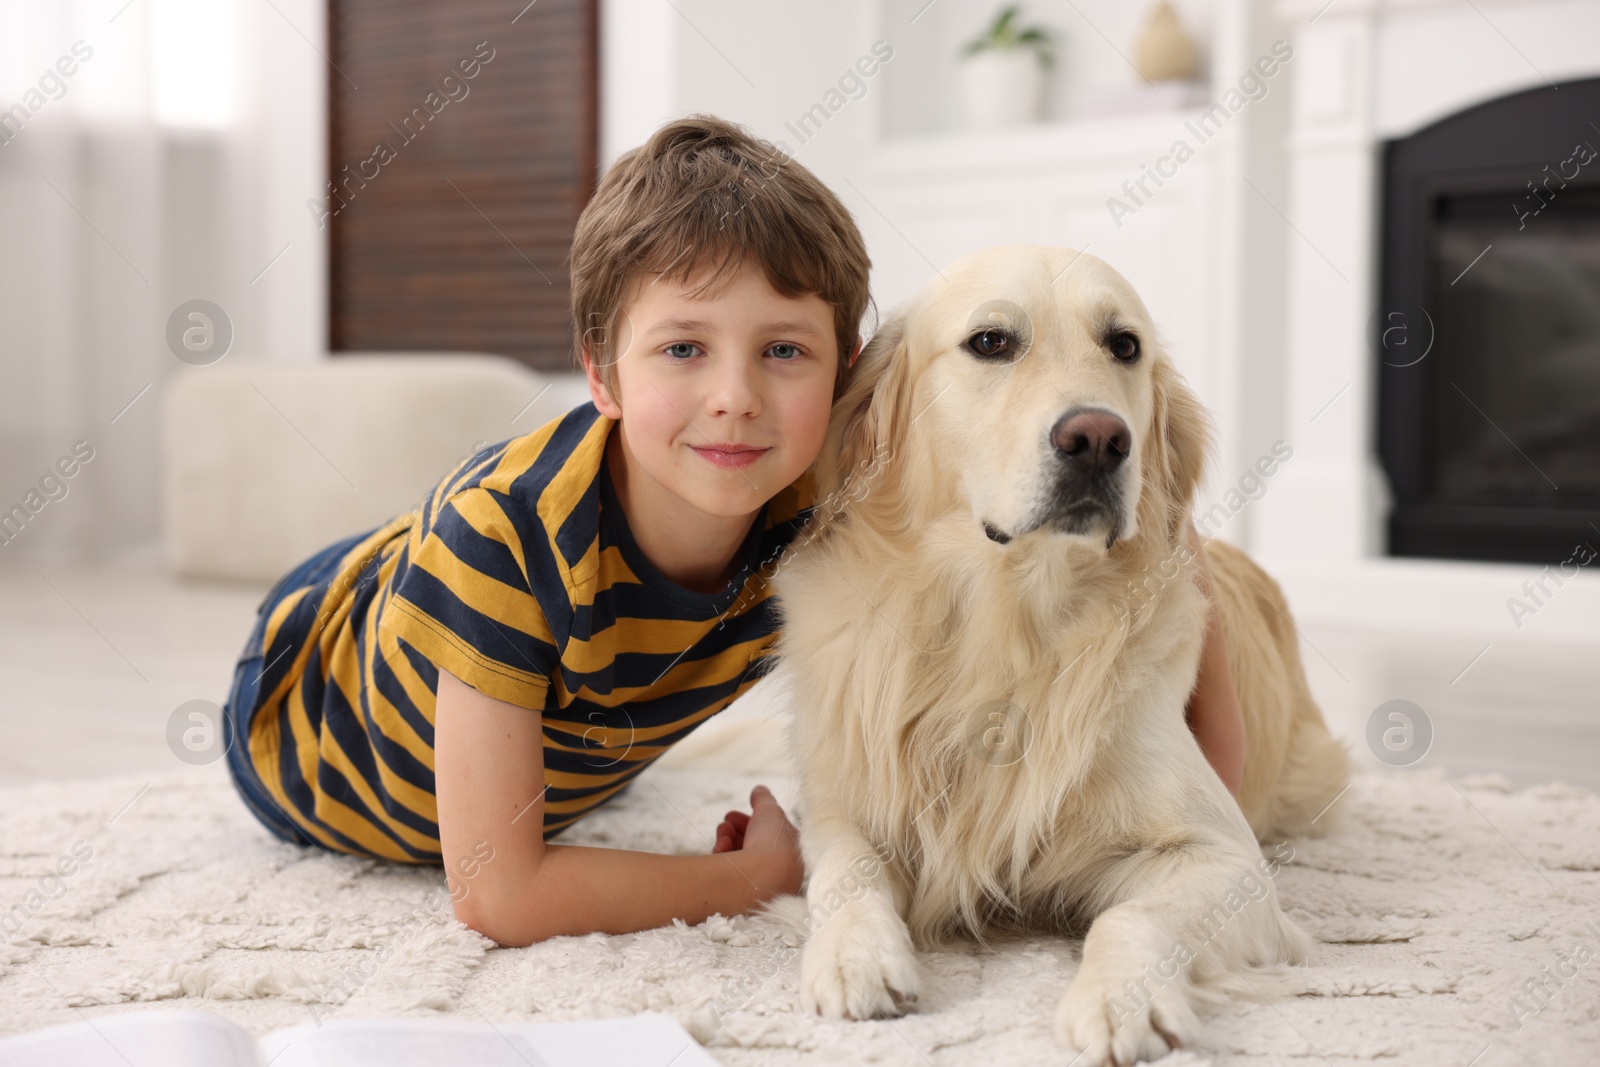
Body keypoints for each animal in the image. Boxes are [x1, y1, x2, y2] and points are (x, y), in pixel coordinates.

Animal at [768, 246, 1356, 1062]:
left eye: (1125, 345)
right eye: (991, 342)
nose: (1101, 439)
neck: (1011, 620)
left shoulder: (1228, 859)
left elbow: (1129, 914)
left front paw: (1120, 1000)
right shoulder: (838, 806)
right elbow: (846, 872)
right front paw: (855, 955)